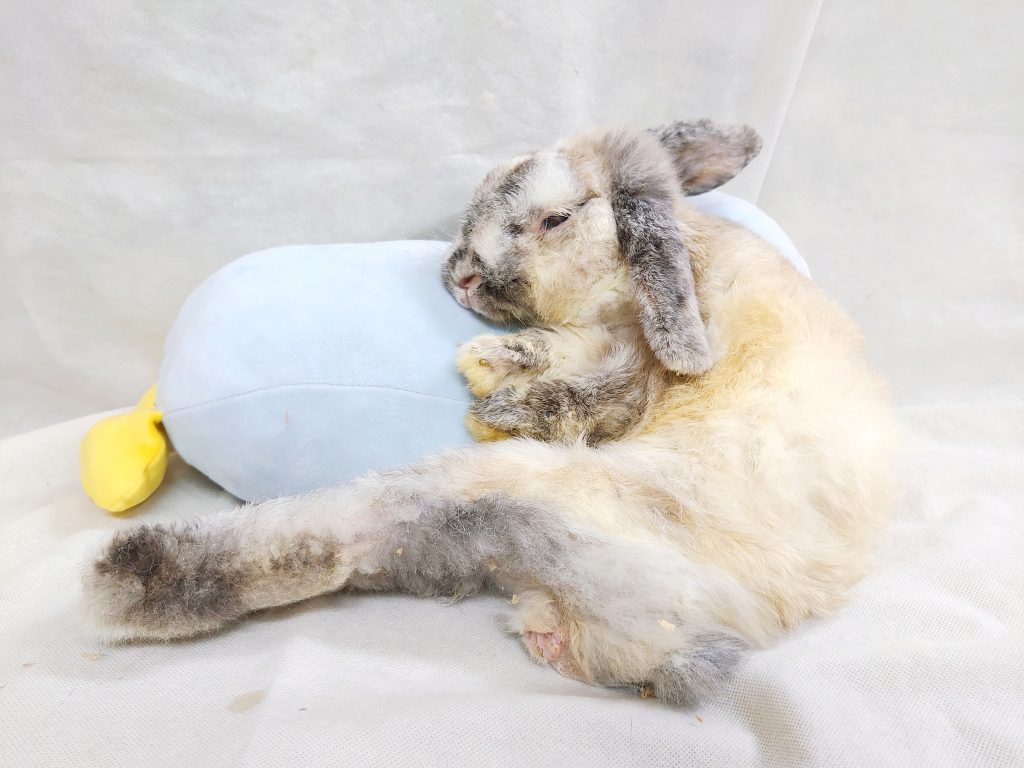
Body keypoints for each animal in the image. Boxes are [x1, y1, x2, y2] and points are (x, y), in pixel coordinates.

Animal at [82, 119, 897, 707]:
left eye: (555, 218)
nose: (463, 274)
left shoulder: (634, 359)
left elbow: (594, 383)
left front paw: (494, 392)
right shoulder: (608, 342)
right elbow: (574, 359)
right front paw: (491, 367)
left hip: (491, 494)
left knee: (322, 538)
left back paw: (125, 578)